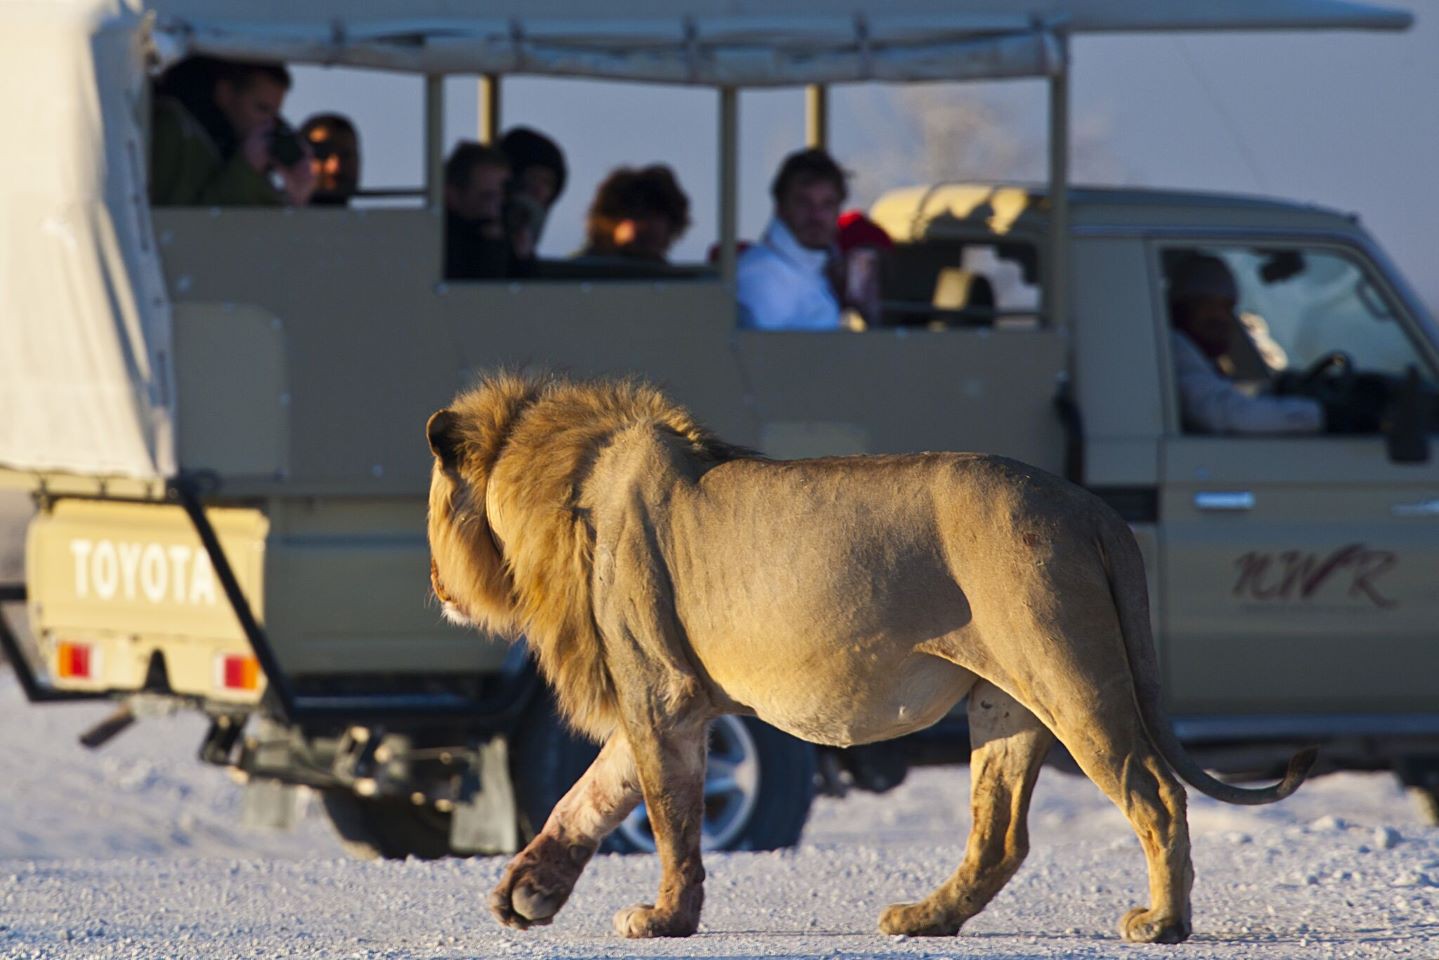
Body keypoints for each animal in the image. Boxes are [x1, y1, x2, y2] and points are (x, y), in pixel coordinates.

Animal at [420, 371, 1312, 944]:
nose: (431, 581)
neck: (561, 480)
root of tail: (1091, 508)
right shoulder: (667, 697)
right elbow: (590, 795)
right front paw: (525, 892)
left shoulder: (660, 691)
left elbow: (669, 818)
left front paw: (665, 919)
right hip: (1004, 699)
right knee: (999, 834)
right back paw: (926, 919)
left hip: (1073, 677)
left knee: (1155, 793)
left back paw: (1162, 923)